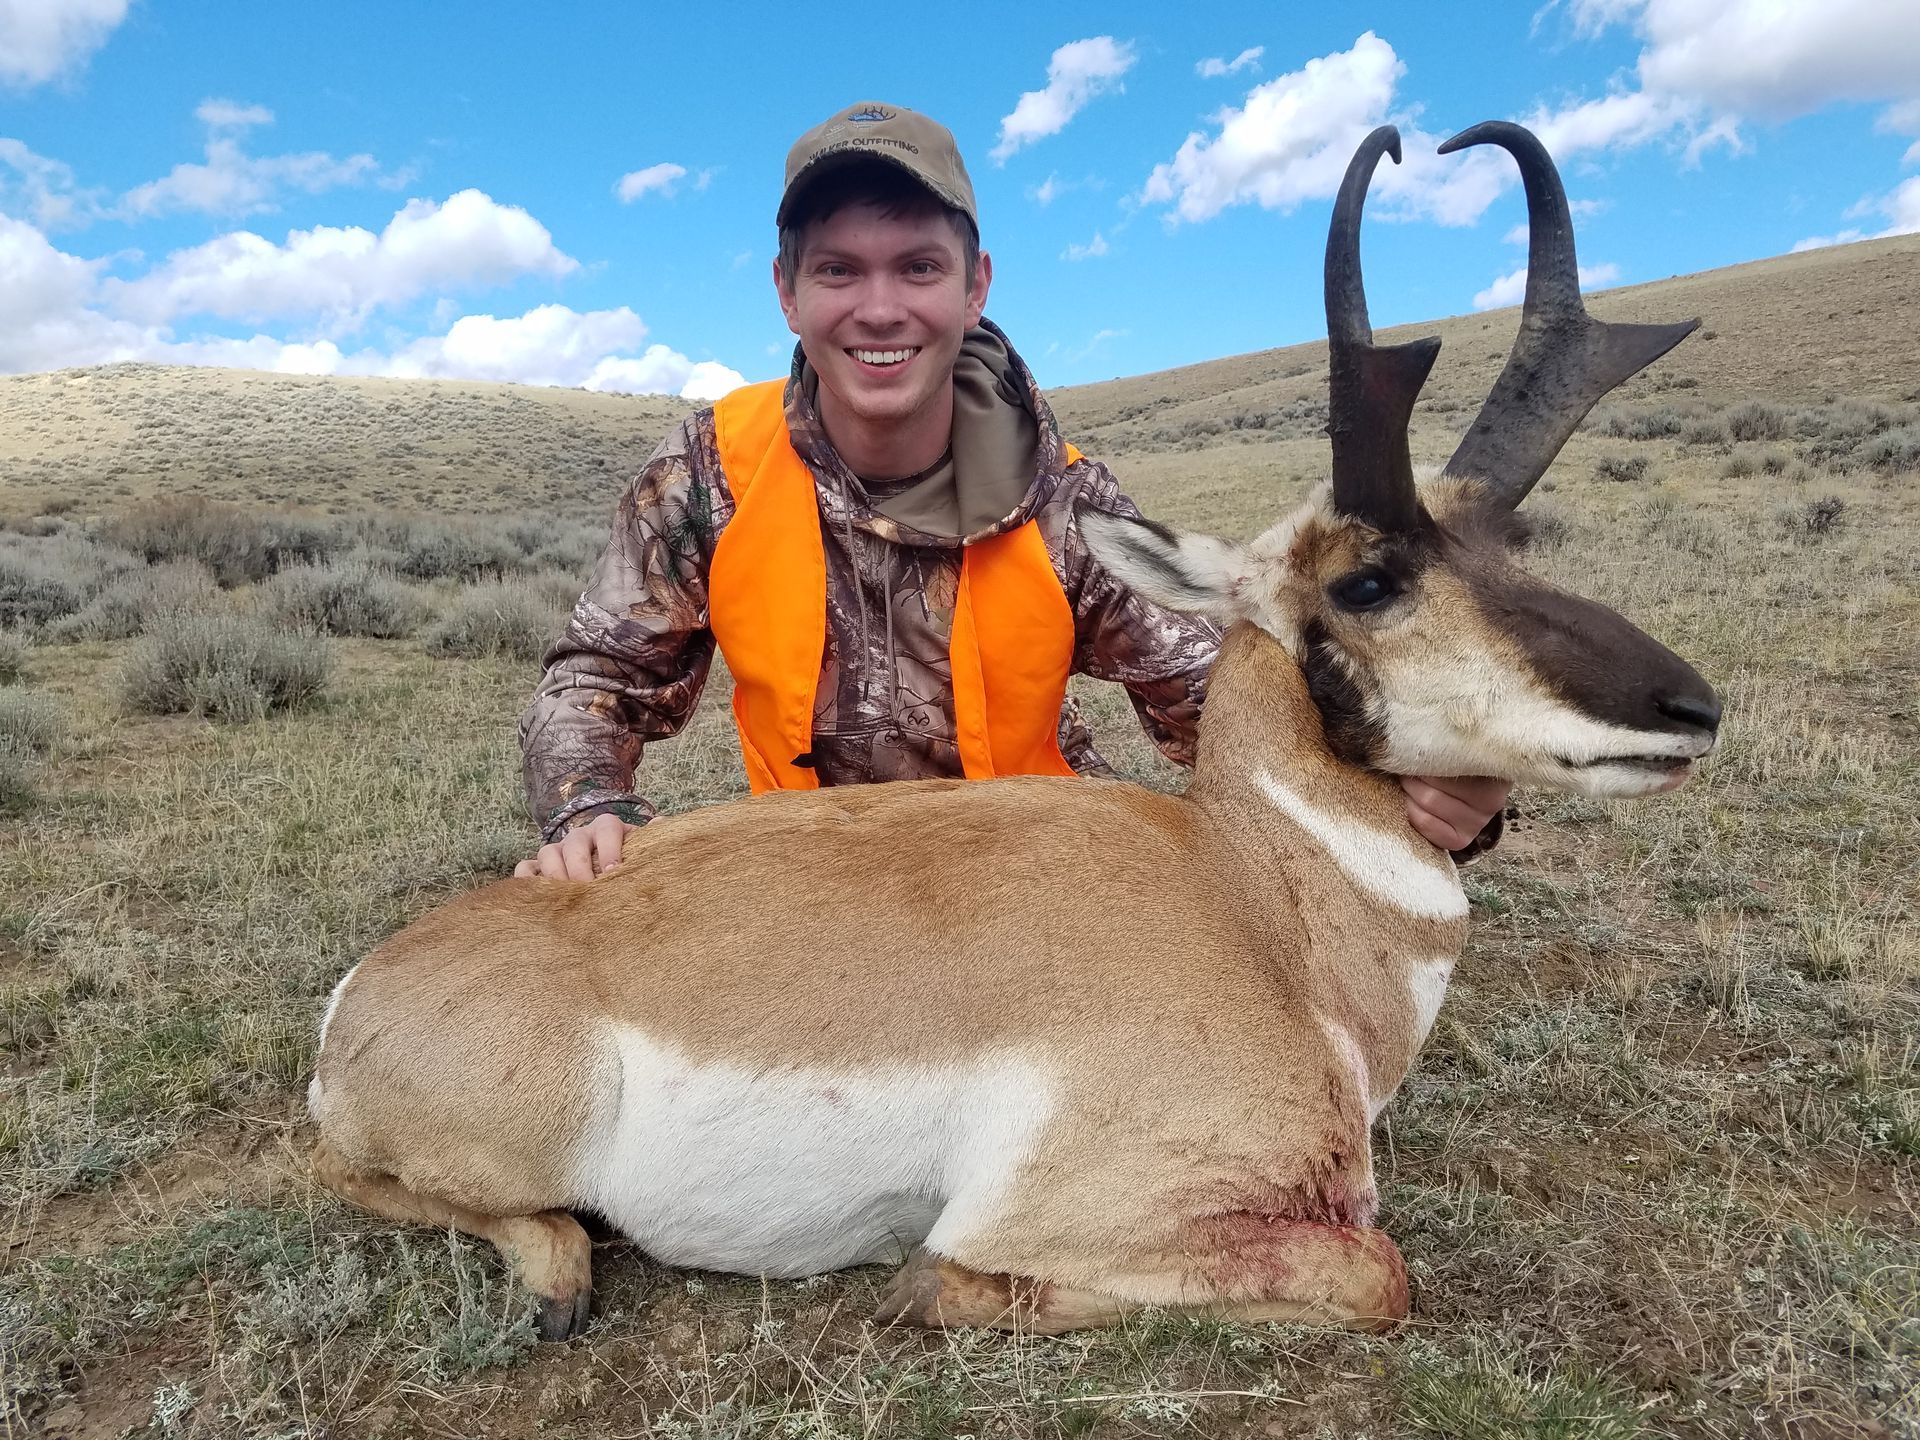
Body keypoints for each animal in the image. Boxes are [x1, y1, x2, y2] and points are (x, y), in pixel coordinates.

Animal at [307, 122, 1720, 1340]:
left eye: (1510, 542)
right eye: (1368, 581)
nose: (1691, 706)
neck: (1255, 903)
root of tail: (369, 989)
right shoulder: (1098, 1203)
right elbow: (1375, 1272)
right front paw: (937, 1290)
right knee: (358, 1179)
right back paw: (558, 1266)